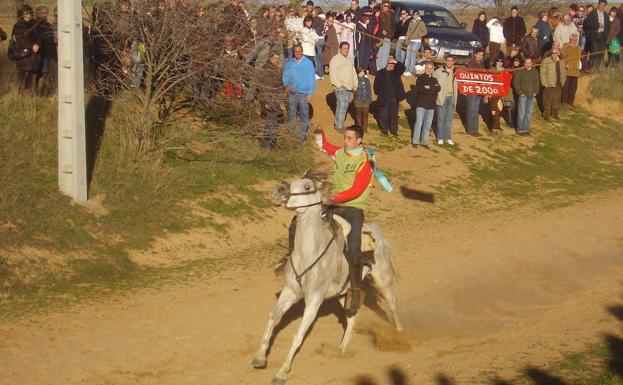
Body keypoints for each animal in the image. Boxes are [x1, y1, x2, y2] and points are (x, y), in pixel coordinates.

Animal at [251, 168, 402, 384]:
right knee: (352, 316)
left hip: (383, 279)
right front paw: (259, 357)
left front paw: (281, 373)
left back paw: (399, 334)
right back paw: (342, 348)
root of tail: (376, 231)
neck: (309, 252)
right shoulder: (290, 291)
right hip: (344, 293)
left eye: (307, 186)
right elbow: (273, 317)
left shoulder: (314, 300)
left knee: (392, 302)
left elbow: (298, 335)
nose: (279, 189)